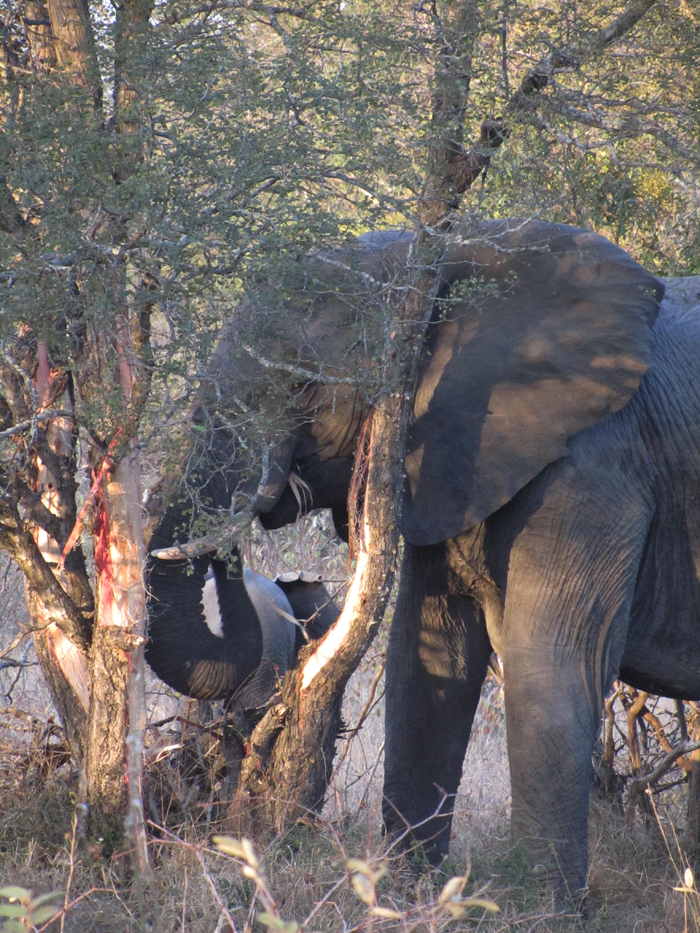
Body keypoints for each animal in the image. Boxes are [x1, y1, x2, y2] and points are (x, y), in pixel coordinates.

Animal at [145, 217, 700, 898]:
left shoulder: (596, 467)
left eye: (303, 385)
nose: (274, 577)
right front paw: (405, 893)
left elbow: (555, 661)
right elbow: (430, 654)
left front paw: (538, 908)